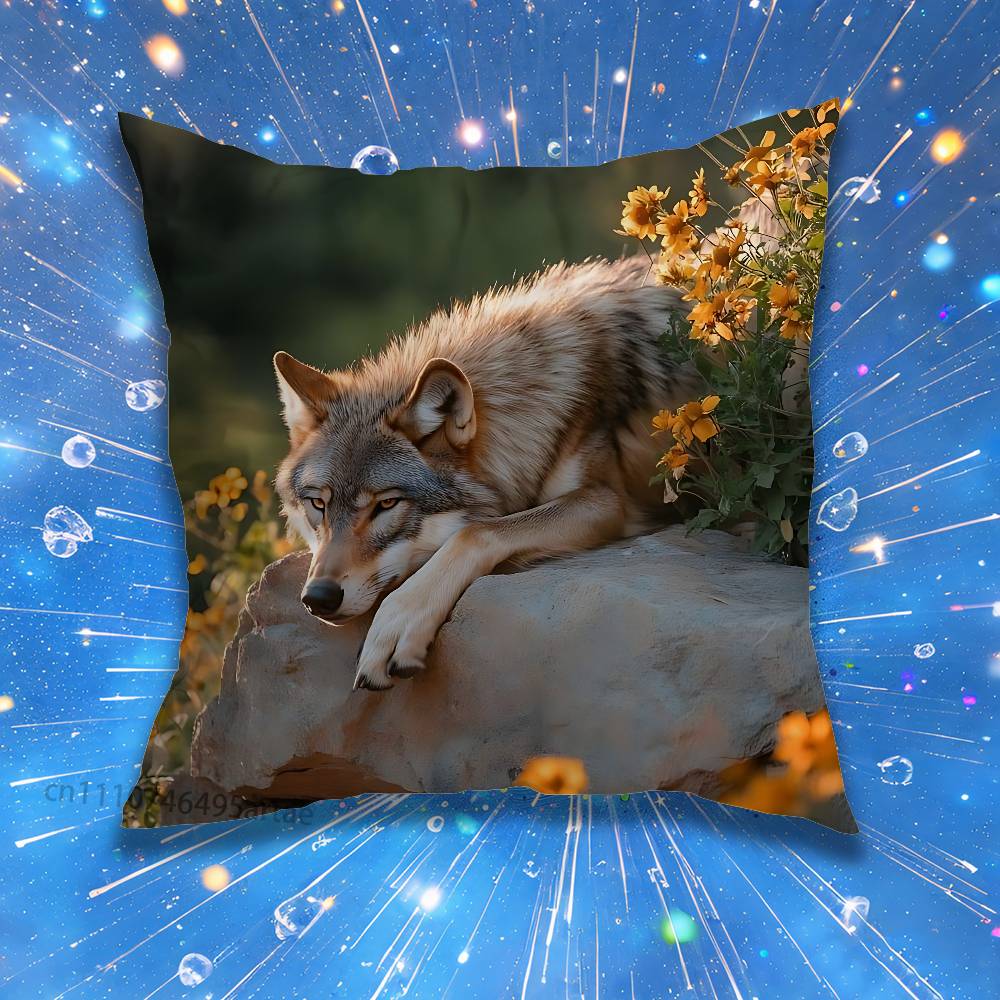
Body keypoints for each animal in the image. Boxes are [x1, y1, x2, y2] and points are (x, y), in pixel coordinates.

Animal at [273, 256, 700, 690]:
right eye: (318, 504)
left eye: (387, 504)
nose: (318, 597)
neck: (518, 400)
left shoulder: (604, 500)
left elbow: (475, 531)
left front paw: (398, 620)